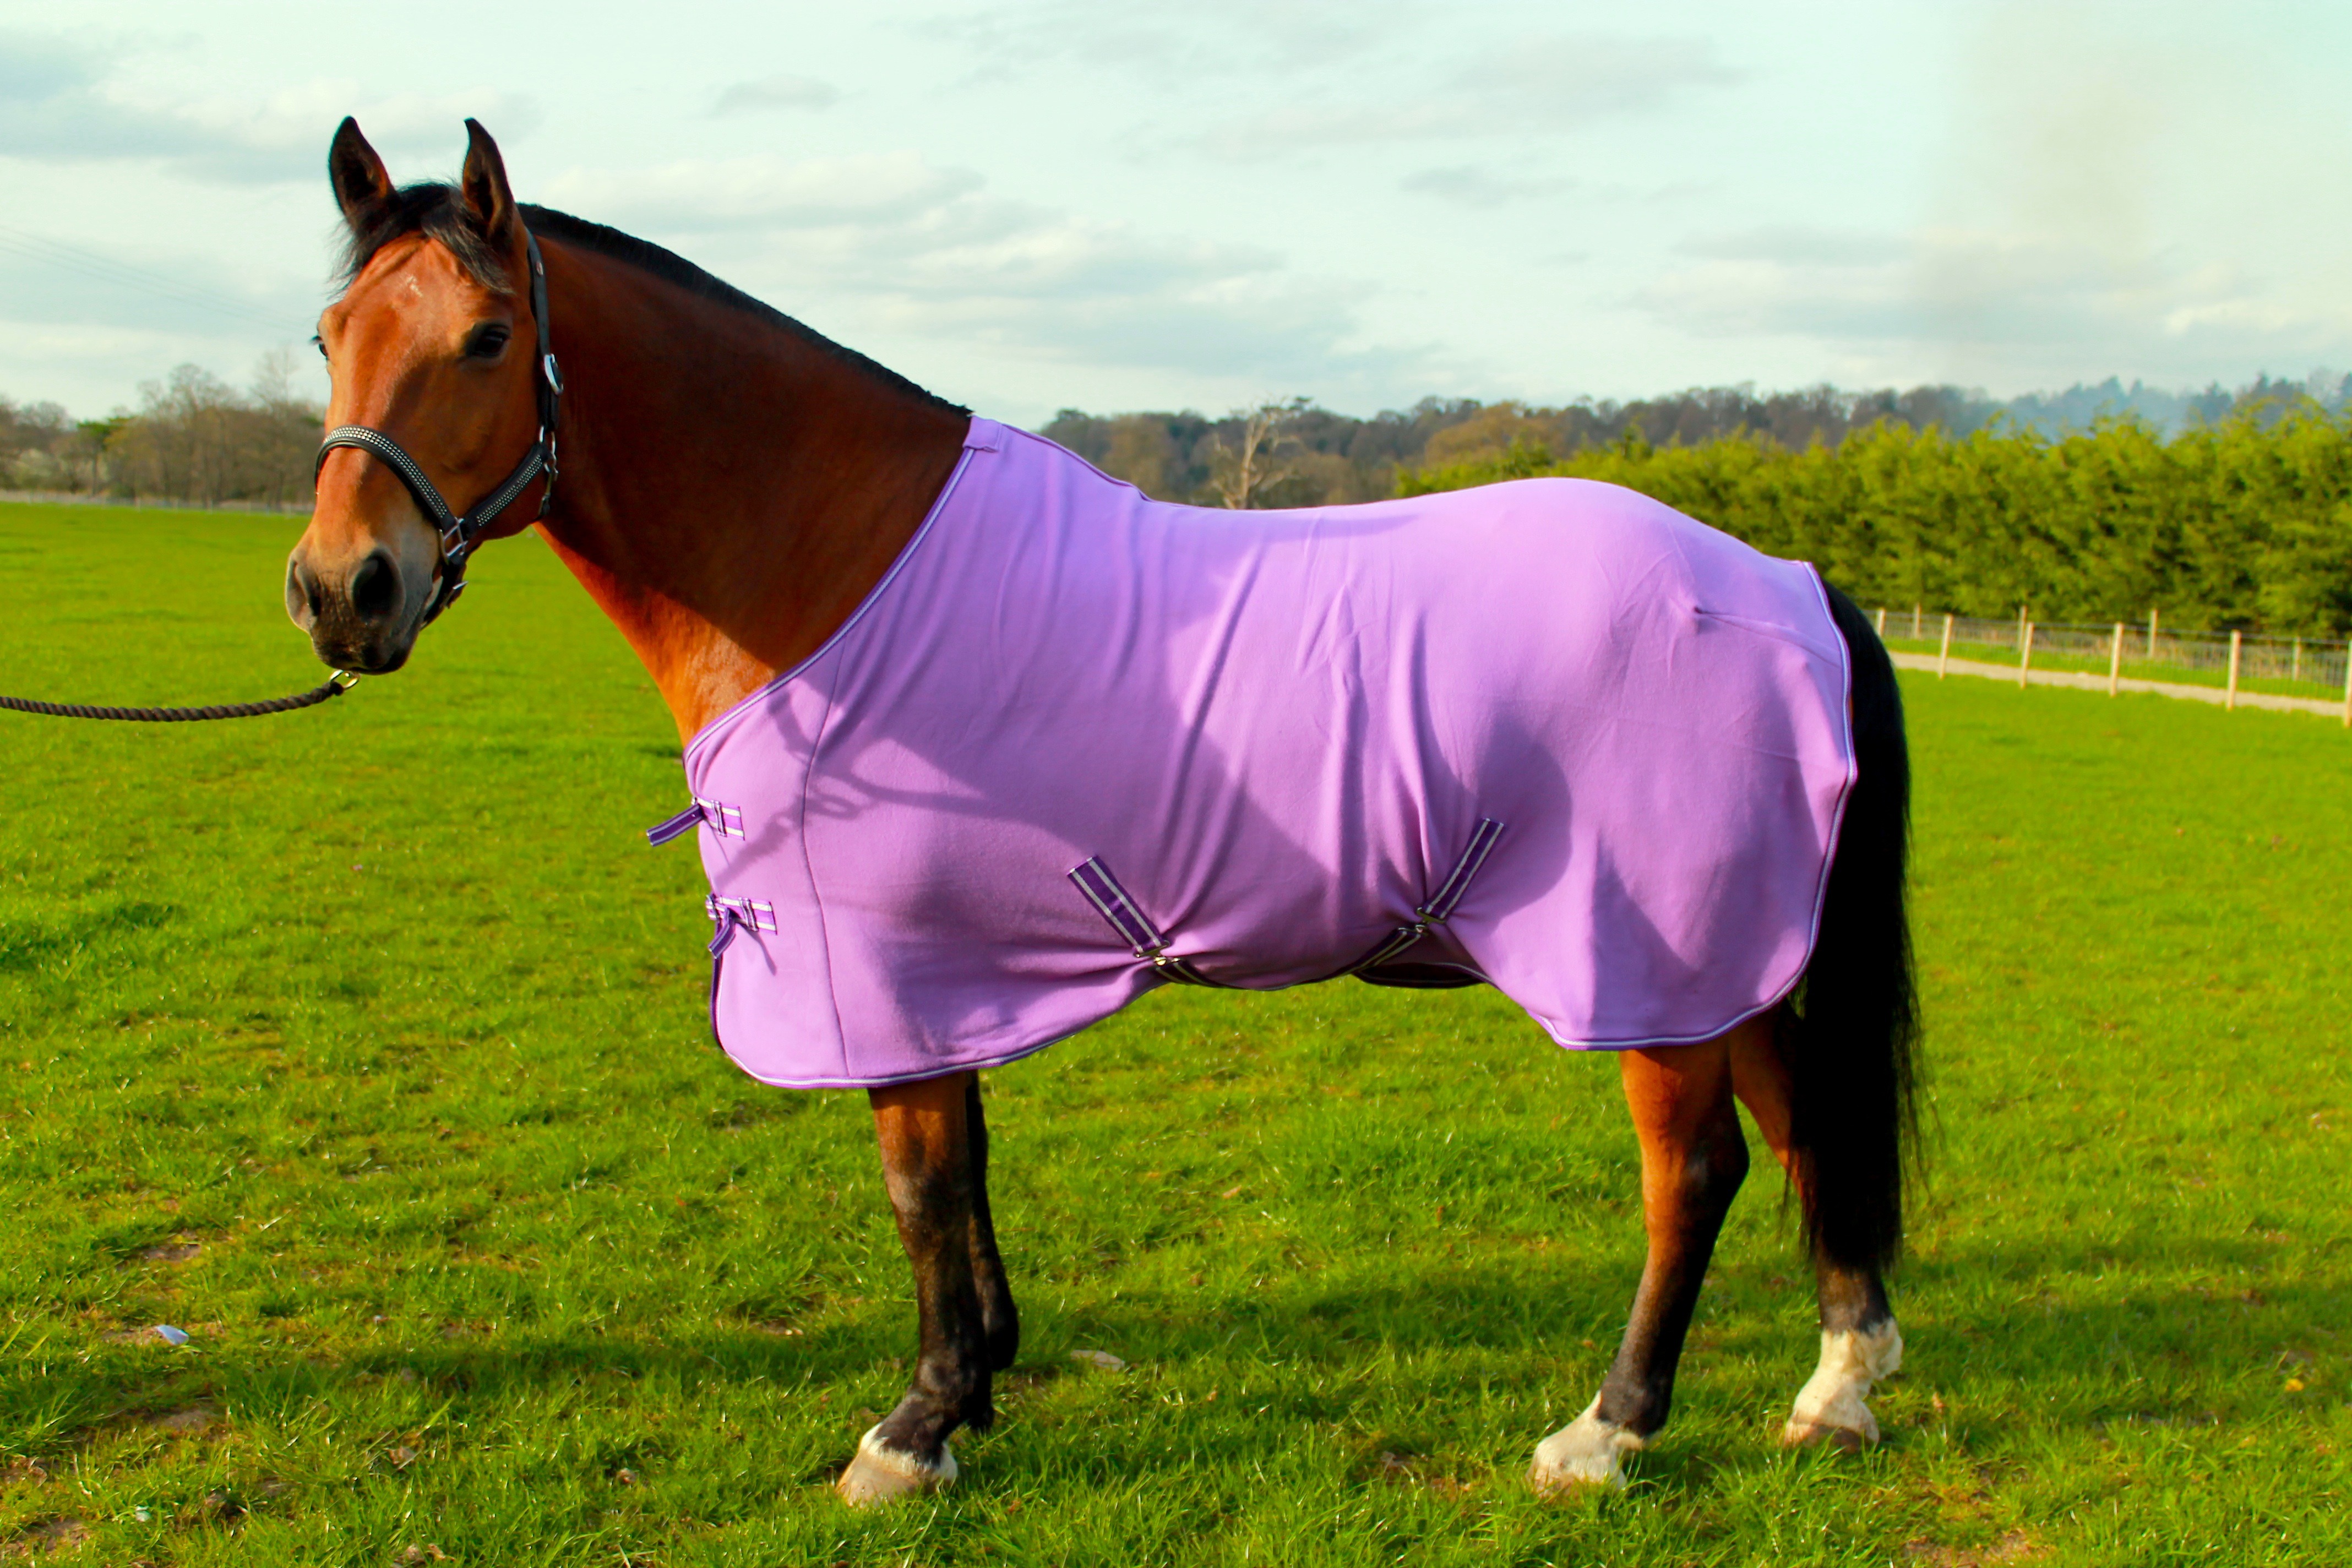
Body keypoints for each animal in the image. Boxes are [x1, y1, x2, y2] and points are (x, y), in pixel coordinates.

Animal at [286, 118, 1918, 1505]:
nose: (339, 589)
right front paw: (981, 1377)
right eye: (329, 337)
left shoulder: (880, 960)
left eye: (489, 337)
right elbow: (966, 1171)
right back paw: (1838, 1384)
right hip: (1719, 955)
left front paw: (914, 1428)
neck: (835, 564)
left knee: (1694, 1171)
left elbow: (919, 1181)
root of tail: (1783, 585)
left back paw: (1608, 1430)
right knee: (1801, 1120)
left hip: (1644, 958)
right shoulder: (945, 971)